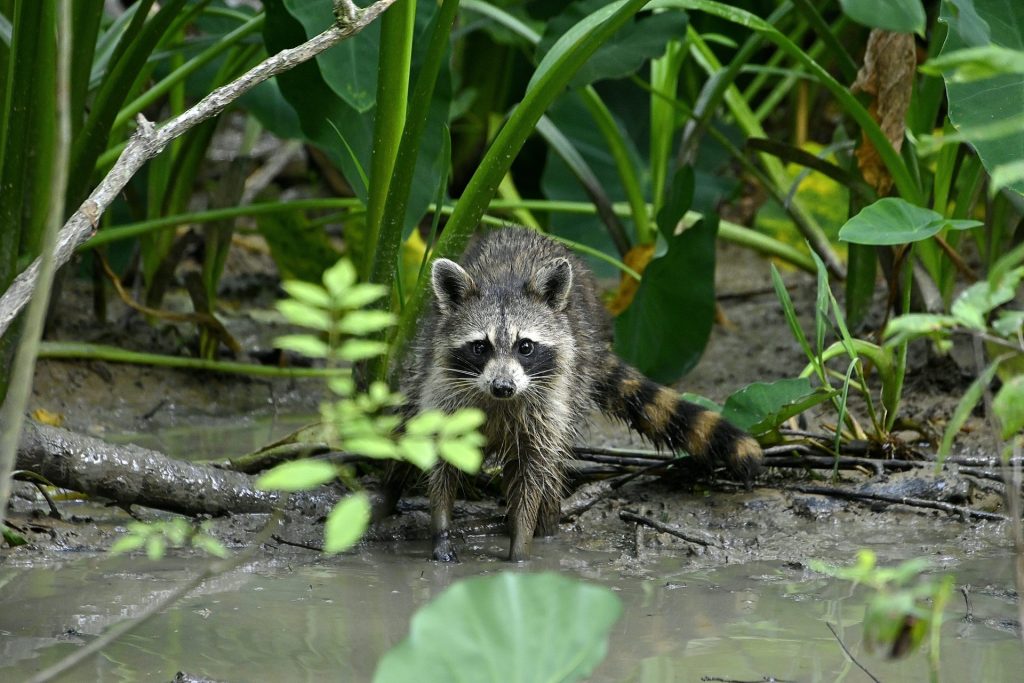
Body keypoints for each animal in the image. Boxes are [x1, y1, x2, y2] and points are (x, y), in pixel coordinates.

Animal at [399, 225, 761, 561]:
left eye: (525, 347)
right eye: (480, 347)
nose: (503, 386)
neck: (498, 401)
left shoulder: (546, 410)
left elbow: (534, 475)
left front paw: (521, 544)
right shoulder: (444, 393)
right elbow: (441, 464)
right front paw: (441, 529)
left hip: (575, 380)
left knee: (552, 468)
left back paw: (547, 528)